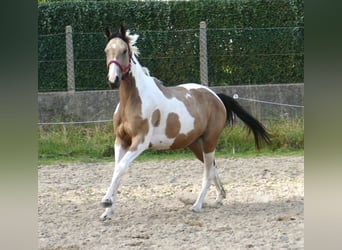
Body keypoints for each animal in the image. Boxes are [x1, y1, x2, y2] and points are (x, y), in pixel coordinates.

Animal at [100, 25, 272, 221]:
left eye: (124, 51)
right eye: (106, 50)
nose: (113, 80)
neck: (133, 100)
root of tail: (216, 96)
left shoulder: (140, 142)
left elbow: (121, 167)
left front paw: (106, 202)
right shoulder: (121, 141)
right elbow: (117, 170)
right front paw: (107, 211)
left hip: (210, 141)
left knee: (208, 171)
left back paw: (197, 205)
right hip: (195, 144)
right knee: (213, 167)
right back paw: (219, 198)